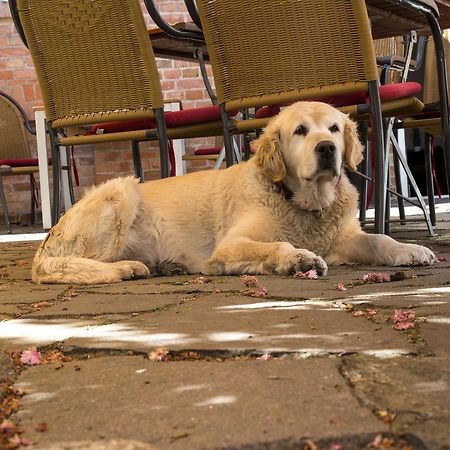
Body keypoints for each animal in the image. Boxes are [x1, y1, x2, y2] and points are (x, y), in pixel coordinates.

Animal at [32, 102, 436, 284]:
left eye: (334, 128)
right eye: (300, 131)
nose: (327, 149)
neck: (303, 202)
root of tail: (49, 236)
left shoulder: (342, 236)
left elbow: (380, 238)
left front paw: (411, 250)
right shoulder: (230, 245)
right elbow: (277, 244)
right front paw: (299, 258)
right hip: (122, 189)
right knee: (68, 264)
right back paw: (127, 267)